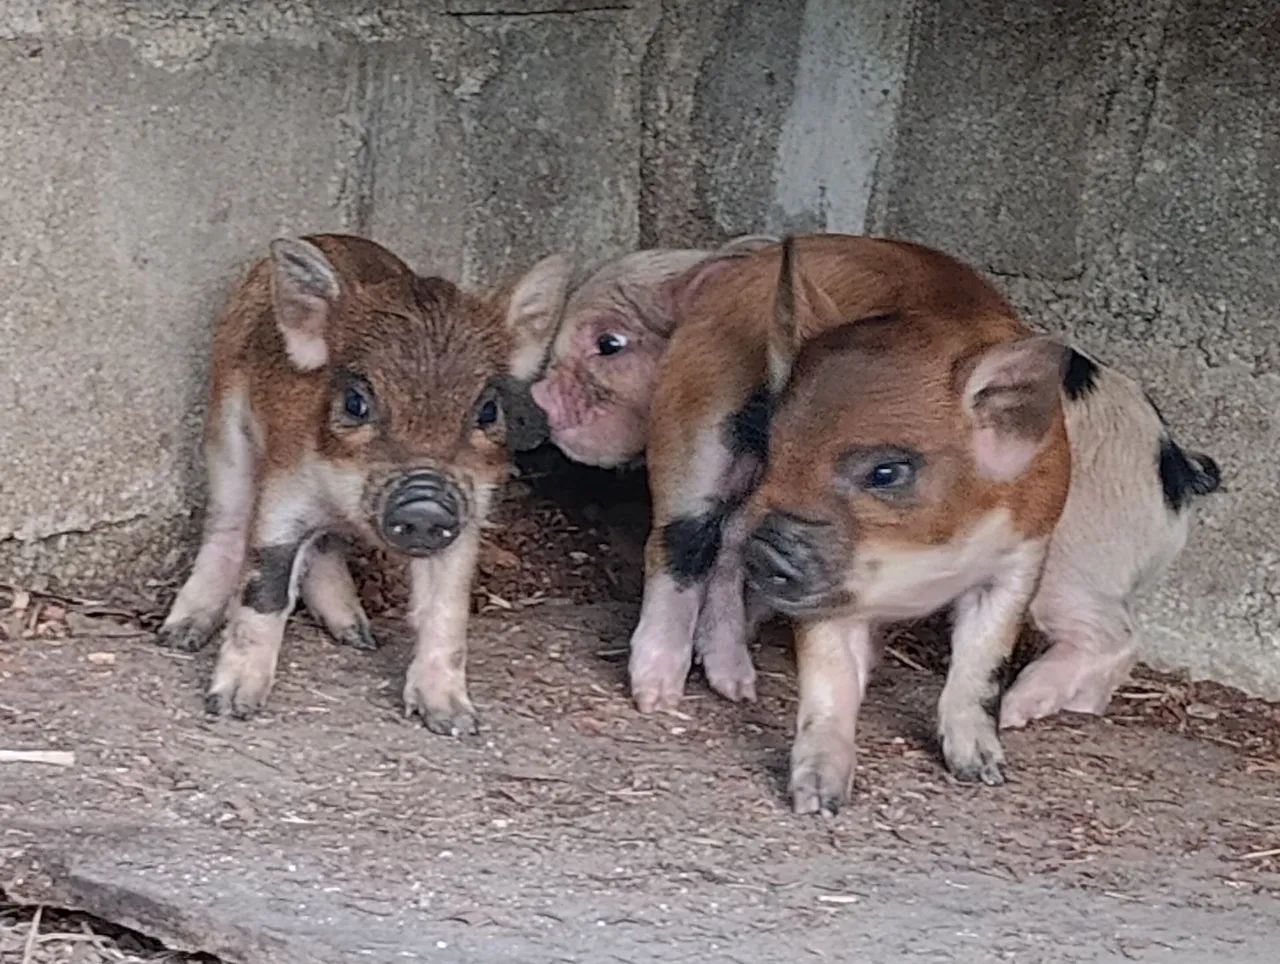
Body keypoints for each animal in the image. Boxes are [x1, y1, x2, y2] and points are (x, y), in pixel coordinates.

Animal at [157, 233, 570, 735]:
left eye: (488, 410)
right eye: (356, 403)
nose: (425, 504)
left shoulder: (467, 518)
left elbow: (446, 610)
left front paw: (456, 723)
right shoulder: (284, 492)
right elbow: (266, 590)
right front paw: (231, 706)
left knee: (325, 546)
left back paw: (358, 635)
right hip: (225, 432)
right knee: (228, 525)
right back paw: (178, 635)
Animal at [626, 234, 1220, 813]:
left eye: (887, 471)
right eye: (775, 447)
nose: (769, 551)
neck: (928, 555)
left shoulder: (1023, 553)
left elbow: (981, 664)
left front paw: (983, 770)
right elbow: (829, 677)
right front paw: (817, 800)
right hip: (696, 426)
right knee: (681, 543)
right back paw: (661, 694)